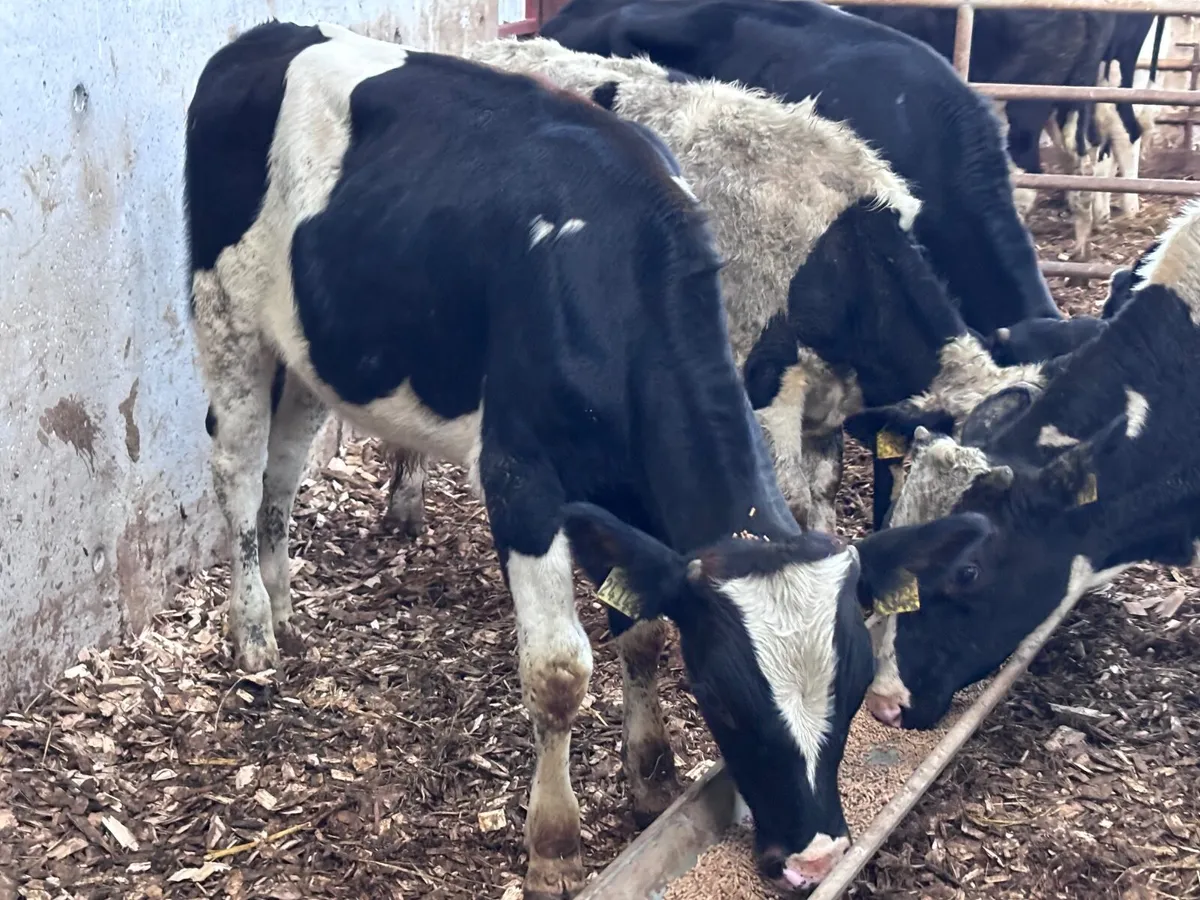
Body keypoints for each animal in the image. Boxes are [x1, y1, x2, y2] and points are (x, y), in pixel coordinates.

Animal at [381, 36, 1047, 538]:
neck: (839, 250)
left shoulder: (829, 403)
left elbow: (824, 492)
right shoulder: (767, 392)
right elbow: (793, 501)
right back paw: (406, 500)